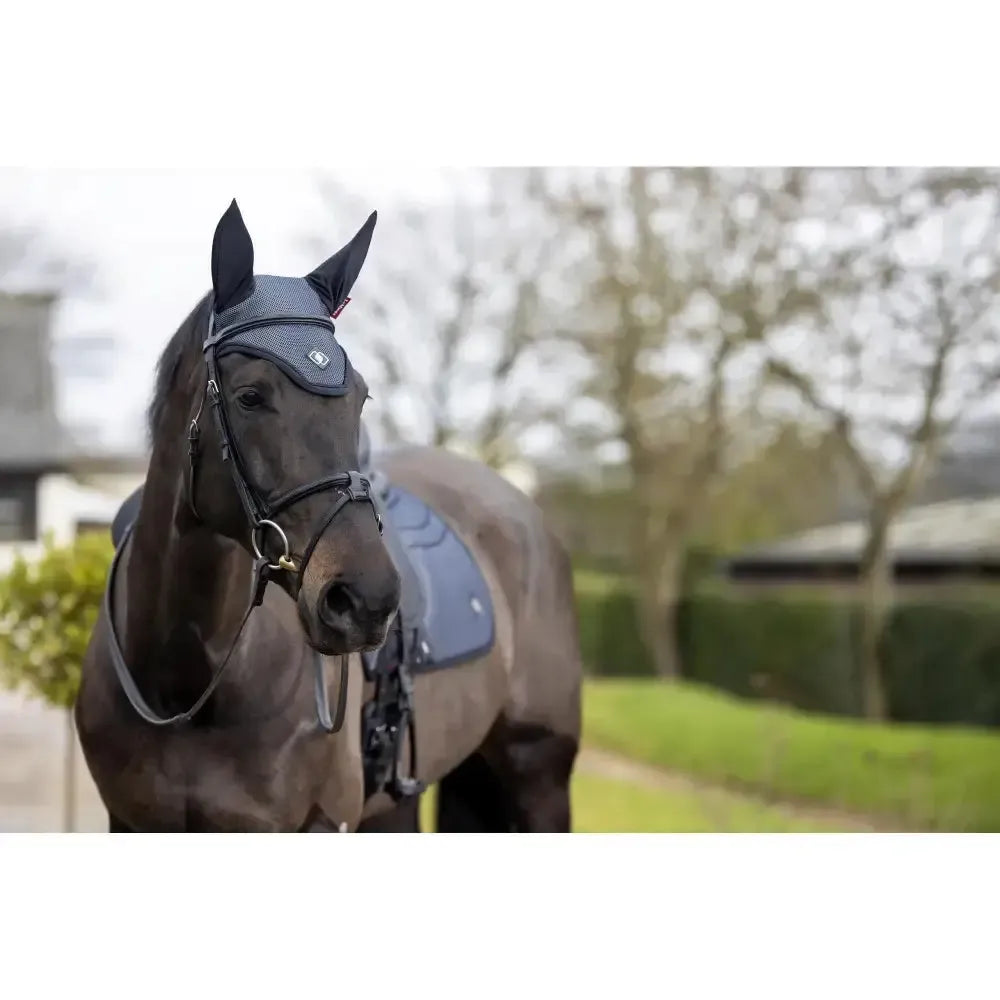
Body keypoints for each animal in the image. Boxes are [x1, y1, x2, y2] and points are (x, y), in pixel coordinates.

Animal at [74, 199, 582, 832]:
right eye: (250, 396)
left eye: (360, 395)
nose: (365, 600)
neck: (187, 684)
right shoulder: (130, 819)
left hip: (540, 780)